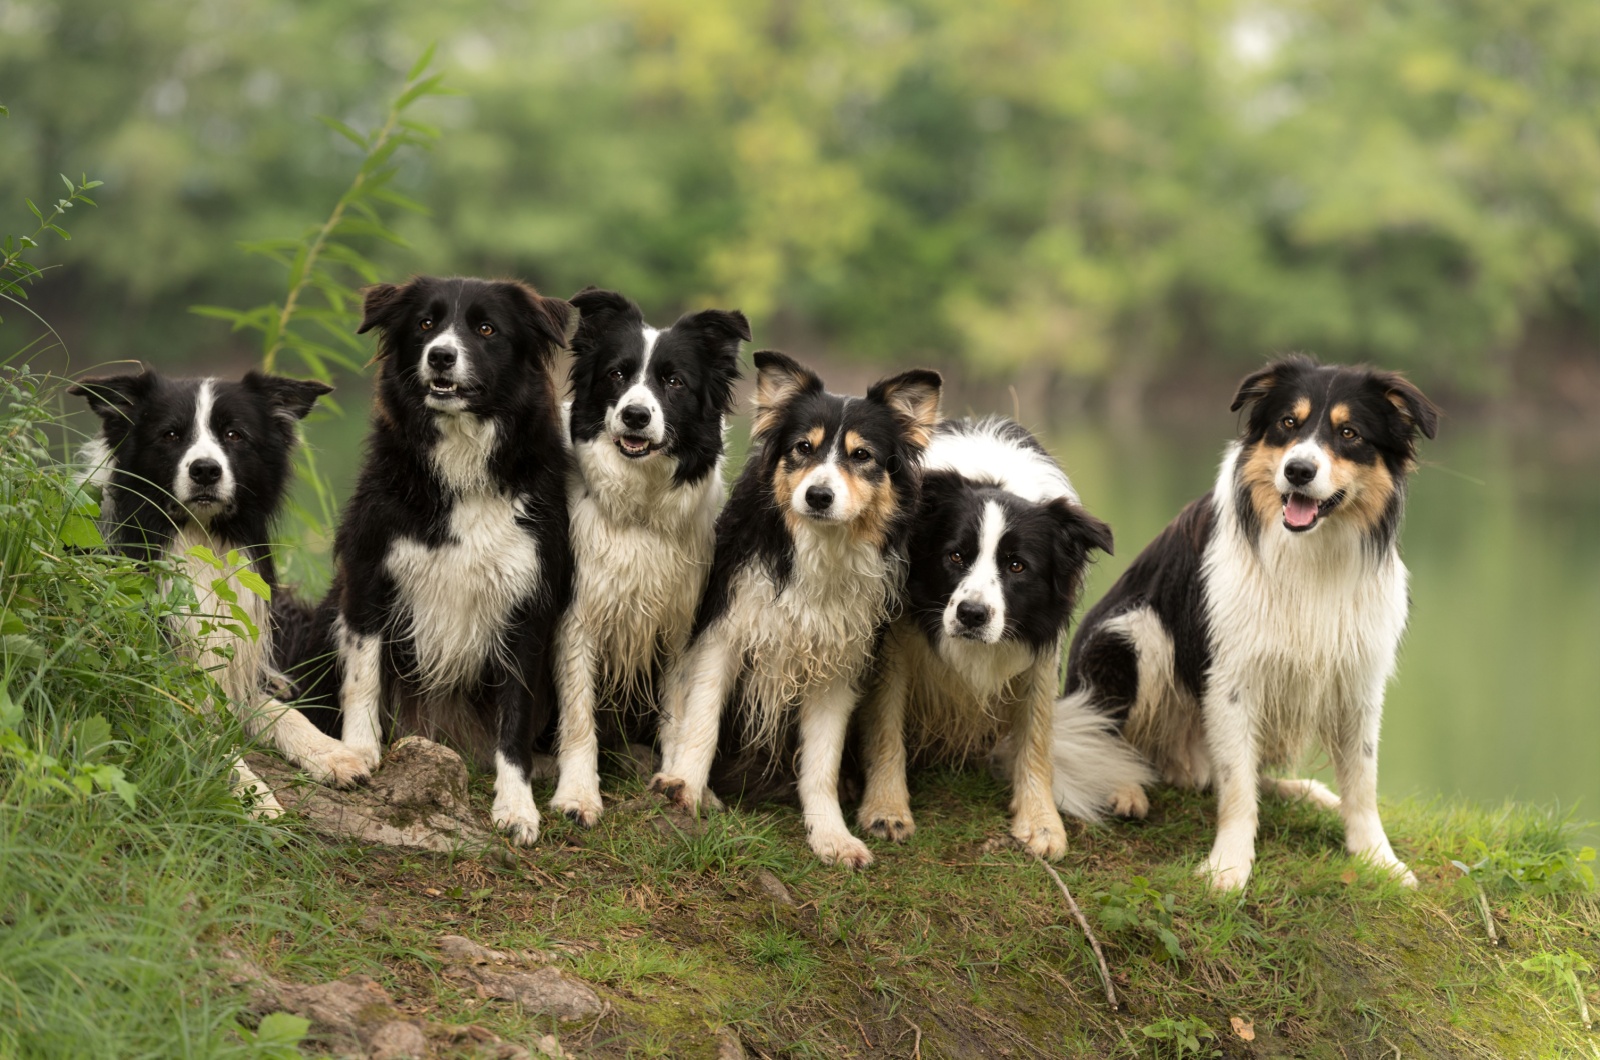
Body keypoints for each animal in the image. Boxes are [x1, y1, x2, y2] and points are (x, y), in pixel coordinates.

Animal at [72, 365, 366, 807]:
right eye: (170, 435)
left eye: (234, 435)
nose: (206, 470)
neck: (200, 537)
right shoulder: (155, 683)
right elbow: (214, 744)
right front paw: (257, 797)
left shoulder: (237, 665)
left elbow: (284, 713)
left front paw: (333, 754)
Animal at [550, 288, 748, 832]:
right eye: (617, 374)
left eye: (674, 381)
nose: (636, 415)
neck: (639, 508)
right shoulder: (578, 619)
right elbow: (578, 717)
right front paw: (578, 795)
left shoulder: (681, 626)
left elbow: (679, 711)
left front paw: (682, 784)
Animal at [857, 416, 1145, 864]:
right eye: (956, 556)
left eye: (1016, 566)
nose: (971, 615)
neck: (996, 480)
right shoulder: (896, 636)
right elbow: (886, 723)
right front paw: (886, 809)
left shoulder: (1041, 648)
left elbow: (1038, 740)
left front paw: (1042, 823)